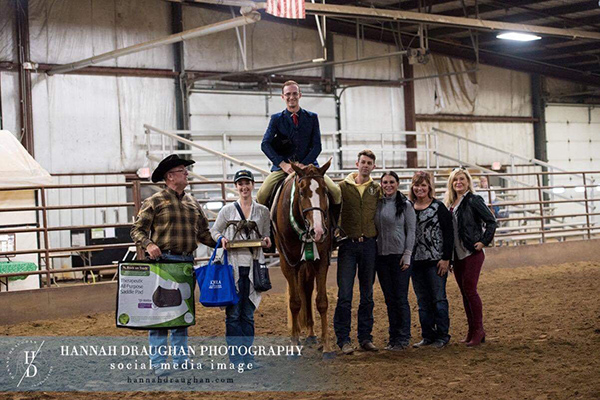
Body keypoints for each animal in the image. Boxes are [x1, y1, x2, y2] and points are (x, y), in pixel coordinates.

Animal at [270, 158, 336, 358]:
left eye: (324, 191)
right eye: (301, 192)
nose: (319, 231)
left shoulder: (321, 260)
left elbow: (321, 302)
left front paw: (327, 346)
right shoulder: (288, 263)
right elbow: (294, 302)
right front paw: (293, 344)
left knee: (307, 290)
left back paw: (312, 334)